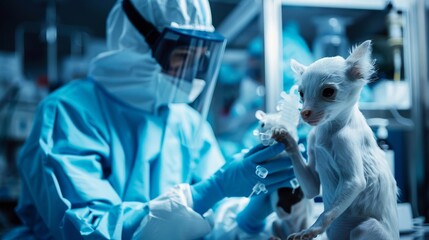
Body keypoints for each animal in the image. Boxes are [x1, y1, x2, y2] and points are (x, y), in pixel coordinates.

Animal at [272, 40, 400, 239]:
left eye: (328, 92)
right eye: (301, 94)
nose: (304, 112)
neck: (329, 131)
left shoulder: (349, 158)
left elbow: (327, 213)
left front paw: (311, 230)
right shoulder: (311, 183)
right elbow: (311, 188)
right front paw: (285, 137)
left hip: (365, 227)